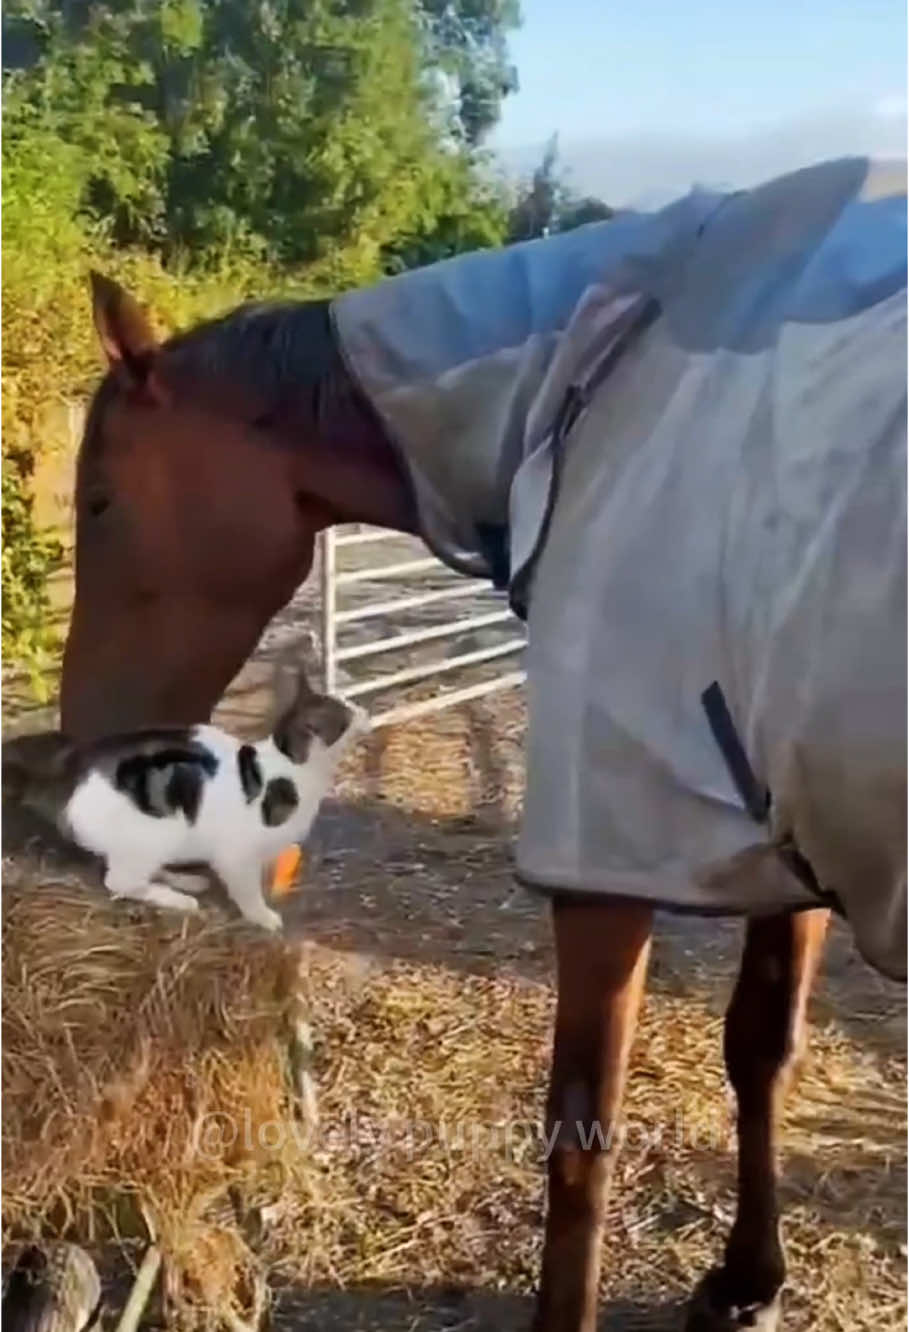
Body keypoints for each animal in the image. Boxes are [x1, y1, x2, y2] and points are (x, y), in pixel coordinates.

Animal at [60, 158, 901, 1332]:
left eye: (99, 500)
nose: (75, 735)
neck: (599, 371)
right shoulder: (775, 841)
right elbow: (760, 1050)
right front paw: (746, 1282)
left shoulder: (608, 858)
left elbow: (582, 1130)